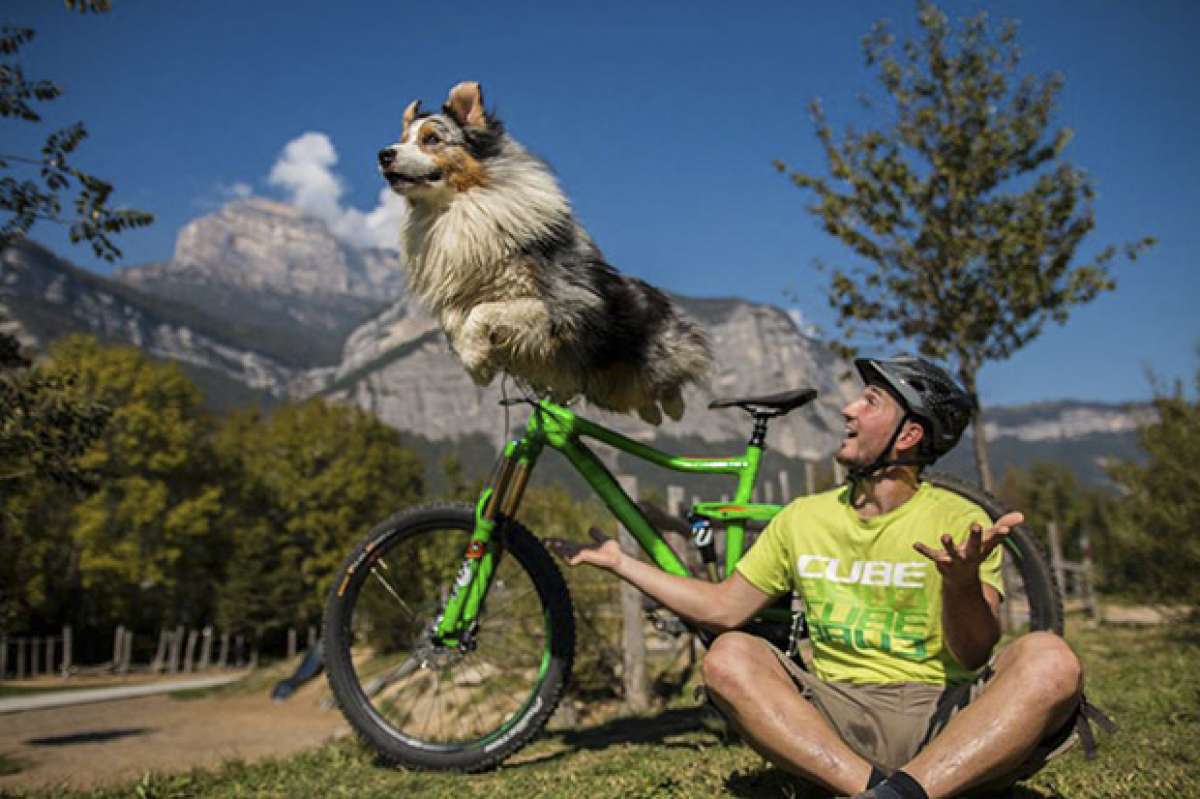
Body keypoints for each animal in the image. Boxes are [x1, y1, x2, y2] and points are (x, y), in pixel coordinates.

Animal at [379, 80, 705, 422]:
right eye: (402, 139)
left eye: (431, 139)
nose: (383, 154)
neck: (456, 208)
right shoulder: (456, 293)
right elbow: (452, 320)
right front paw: (476, 363)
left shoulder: (563, 306)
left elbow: (484, 310)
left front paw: (476, 358)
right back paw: (651, 413)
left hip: (657, 354)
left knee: (675, 380)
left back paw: (673, 404)